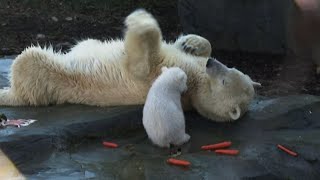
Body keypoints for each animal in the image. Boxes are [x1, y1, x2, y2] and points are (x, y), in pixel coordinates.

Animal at [0, 9, 260, 121]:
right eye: (233, 70)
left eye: (225, 80)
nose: (212, 64)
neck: (197, 83)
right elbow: (186, 45)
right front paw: (192, 43)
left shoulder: (167, 74)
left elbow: (142, 62)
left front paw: (141, 21)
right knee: (85, 43)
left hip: (53, 77)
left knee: (28, 62)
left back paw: (6, 93)